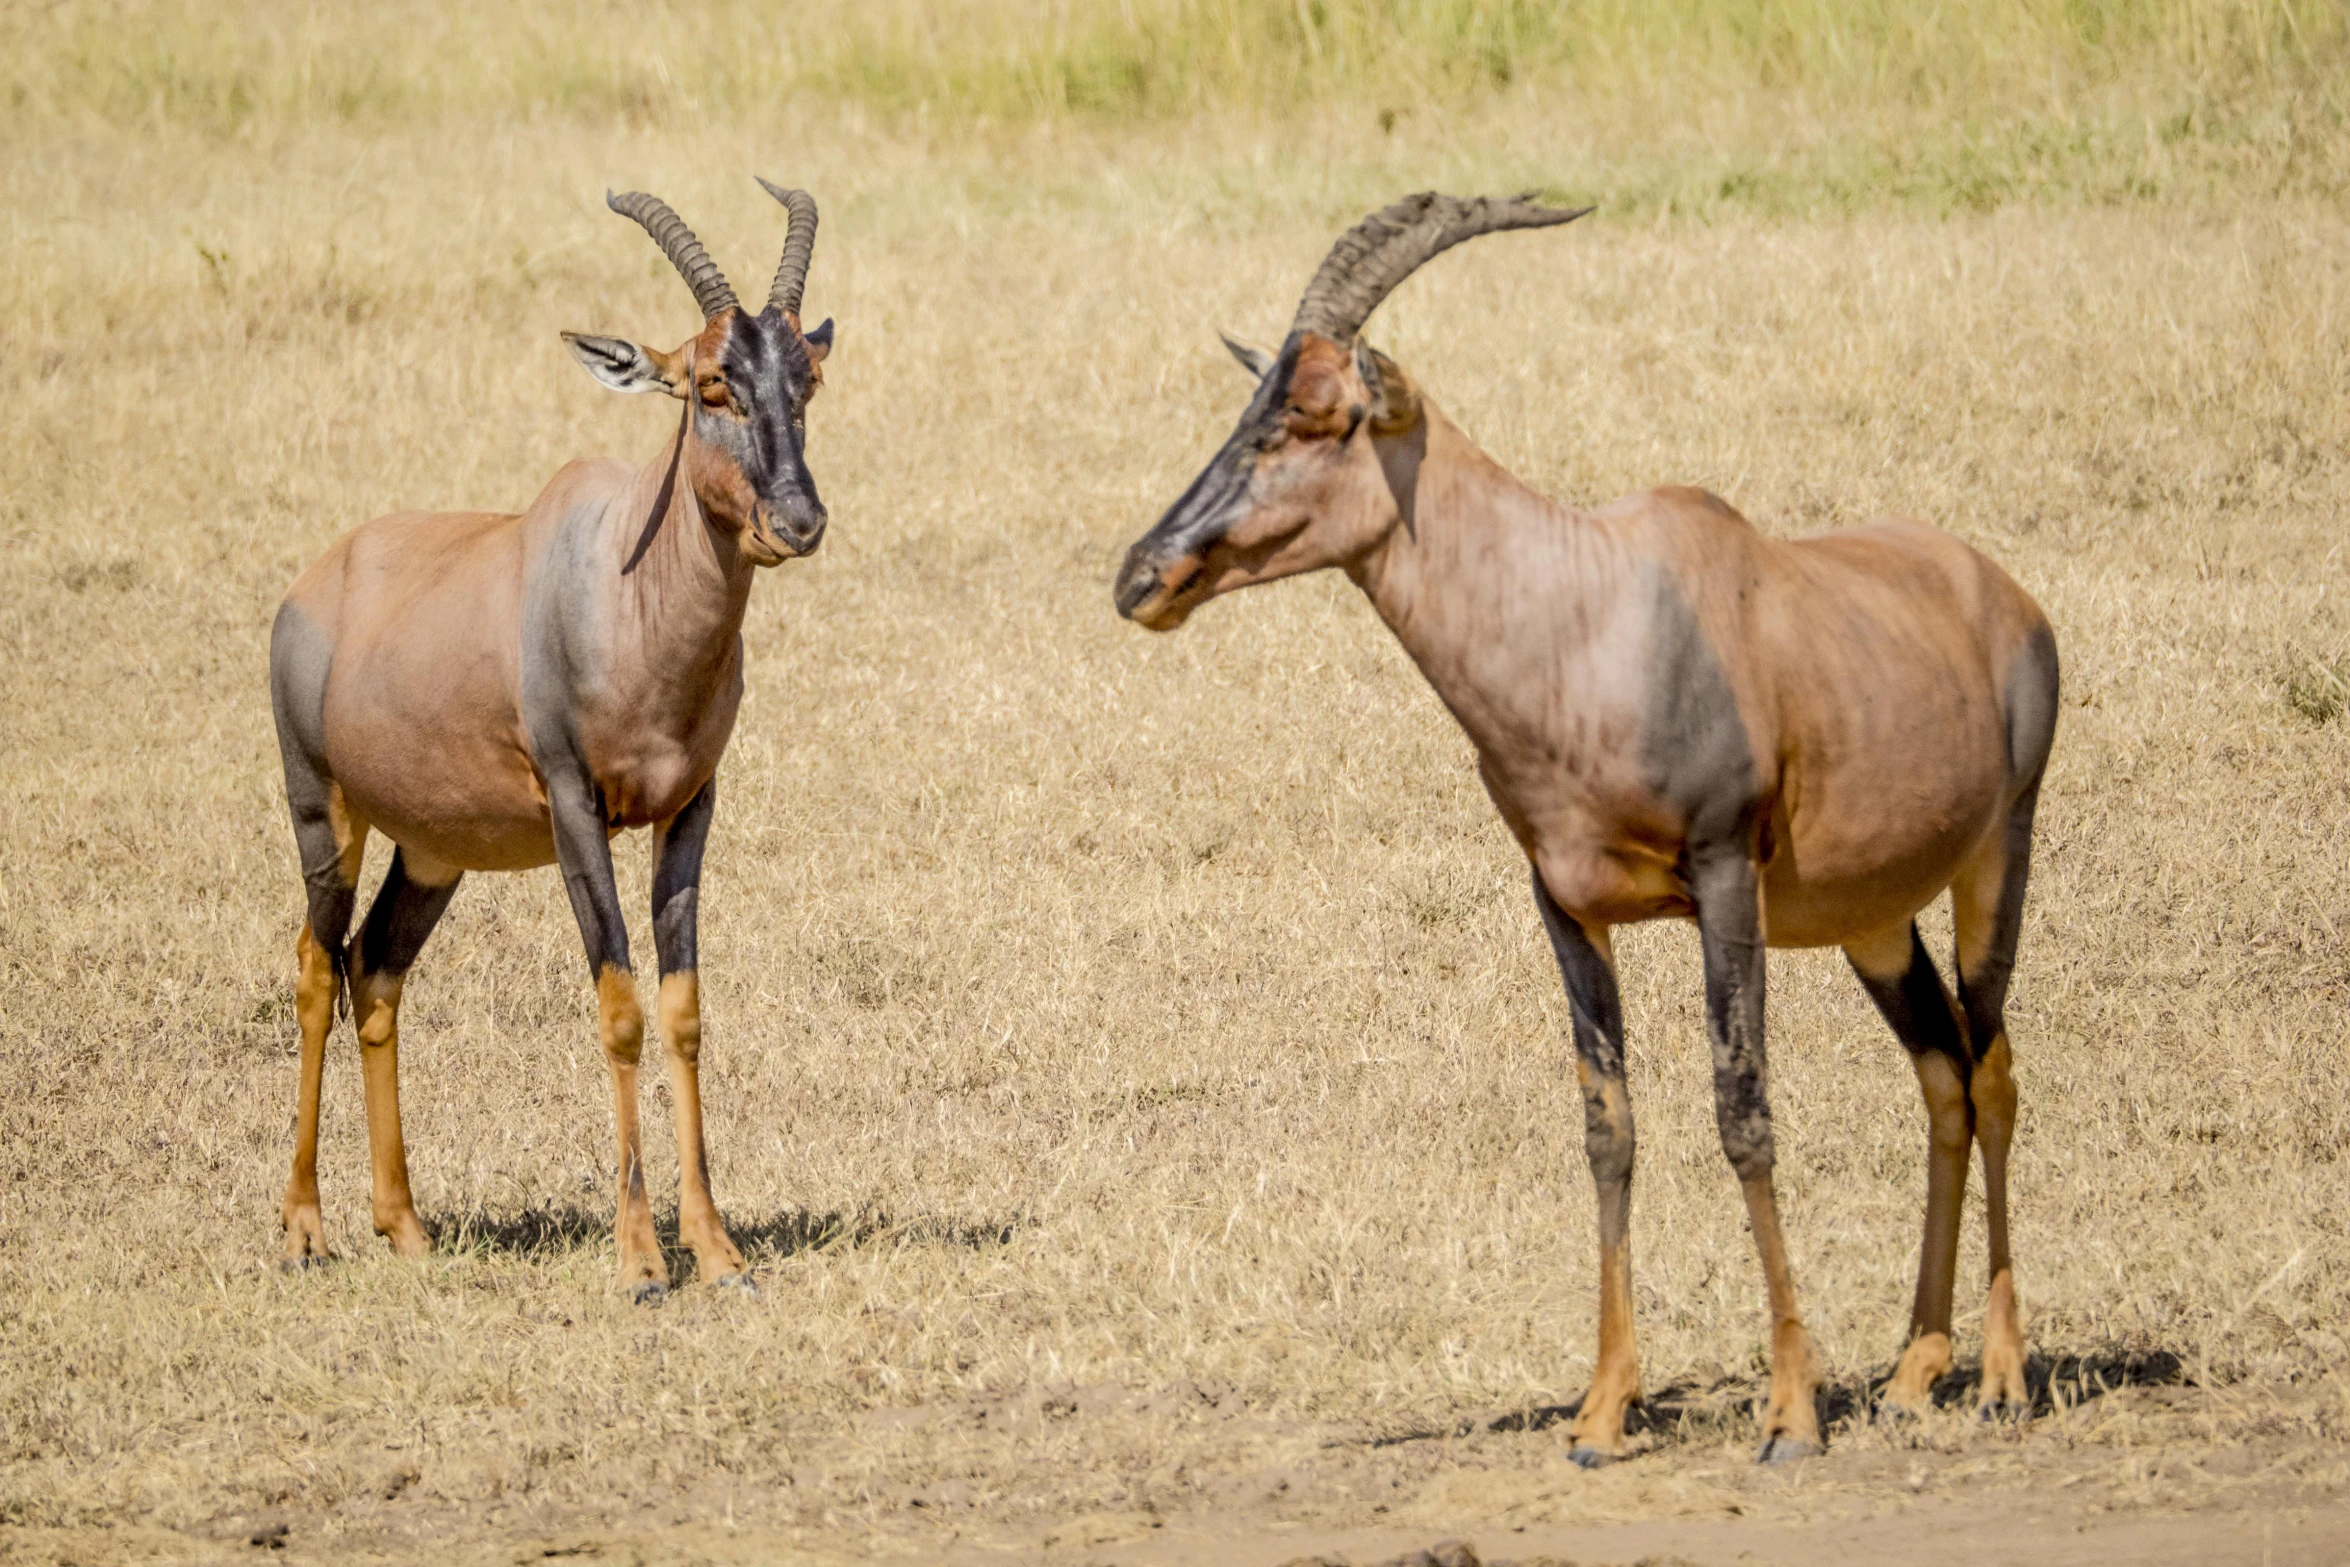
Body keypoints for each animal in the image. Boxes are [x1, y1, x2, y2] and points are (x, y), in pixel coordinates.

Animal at [269, 180, 836, 1296]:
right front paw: (641, 1258)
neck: (620, 579)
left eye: (808, 379)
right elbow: (619, 1006)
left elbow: (683, 1010)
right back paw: (305, 1226)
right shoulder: (577, 809)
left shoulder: (690, 808)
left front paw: (717, 1248)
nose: (799, 521)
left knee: (376, 970)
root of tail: (317, 580)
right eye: (710, 385)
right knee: (316, 968)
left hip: (434, 849)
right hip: (326, 815)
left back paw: (404, 1224)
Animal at [1118, 192, 2058, 1456]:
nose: (1142, 575)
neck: (1590, 611)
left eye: (1313, 417)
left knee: (1993, 1067)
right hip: (1873, 919)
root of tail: (2003, 596)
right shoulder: (1562, 903)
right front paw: (1603, 1407)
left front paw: (1790, 1412)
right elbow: (1607, 1127)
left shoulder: (1723, 879)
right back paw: (1915, 1369)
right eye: (1247, 407)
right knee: (1943, 1077)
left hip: (1997, 858)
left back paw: (2001, 1374)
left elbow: (1742, 1110)